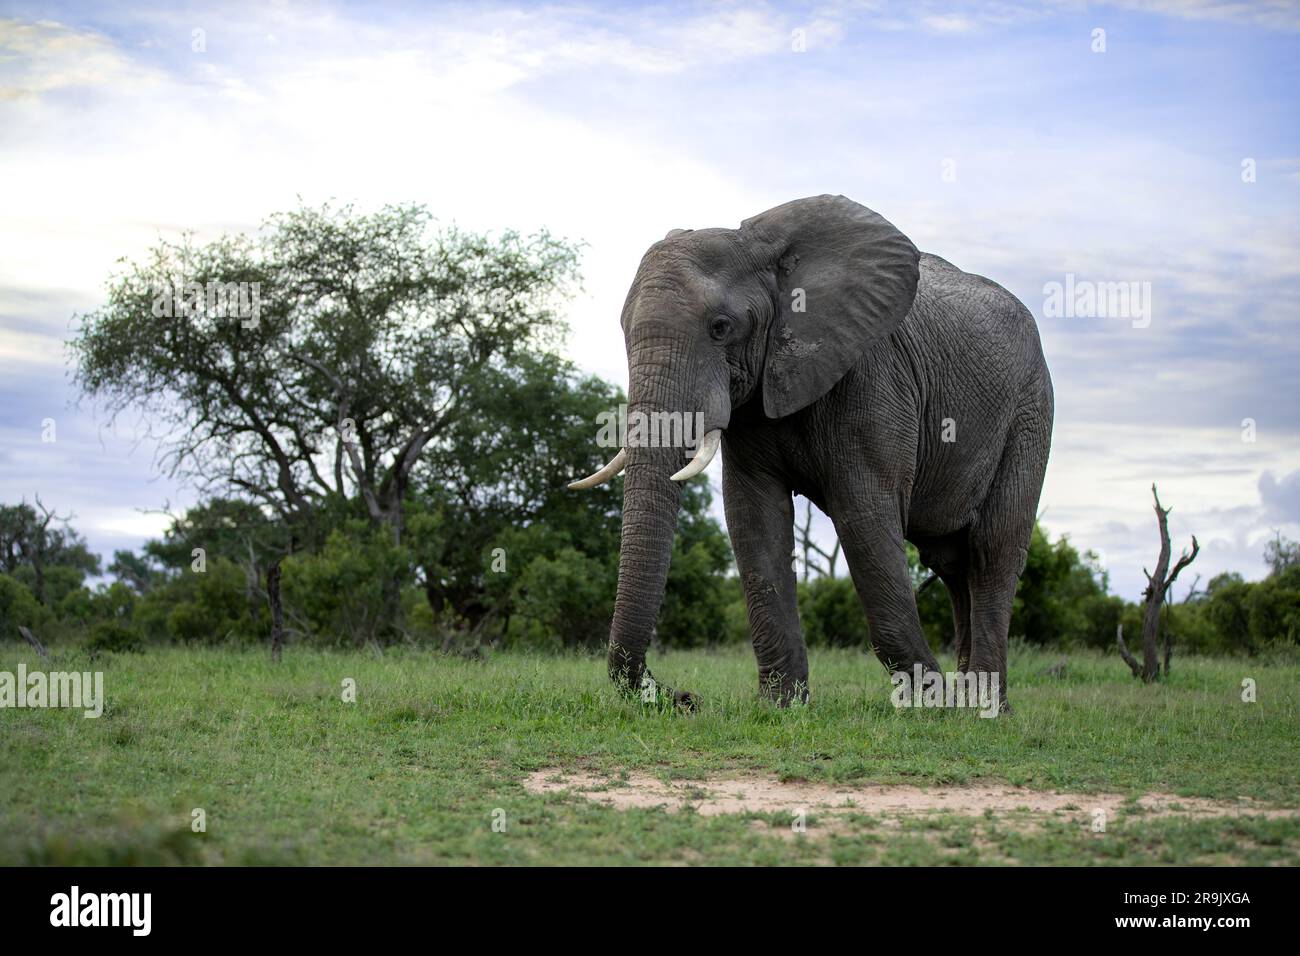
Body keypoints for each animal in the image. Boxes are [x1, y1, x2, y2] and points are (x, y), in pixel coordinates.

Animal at [572, 195, 1055, 712]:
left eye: (721, 328)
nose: (684, 696)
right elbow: (753, 518)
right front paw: (780, 706)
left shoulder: (873, 378)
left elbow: (864, 516)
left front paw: (930, 703)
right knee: (950, 562)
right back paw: (971, 700)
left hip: (1030, 410)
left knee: (992, 550)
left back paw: (984, 709)